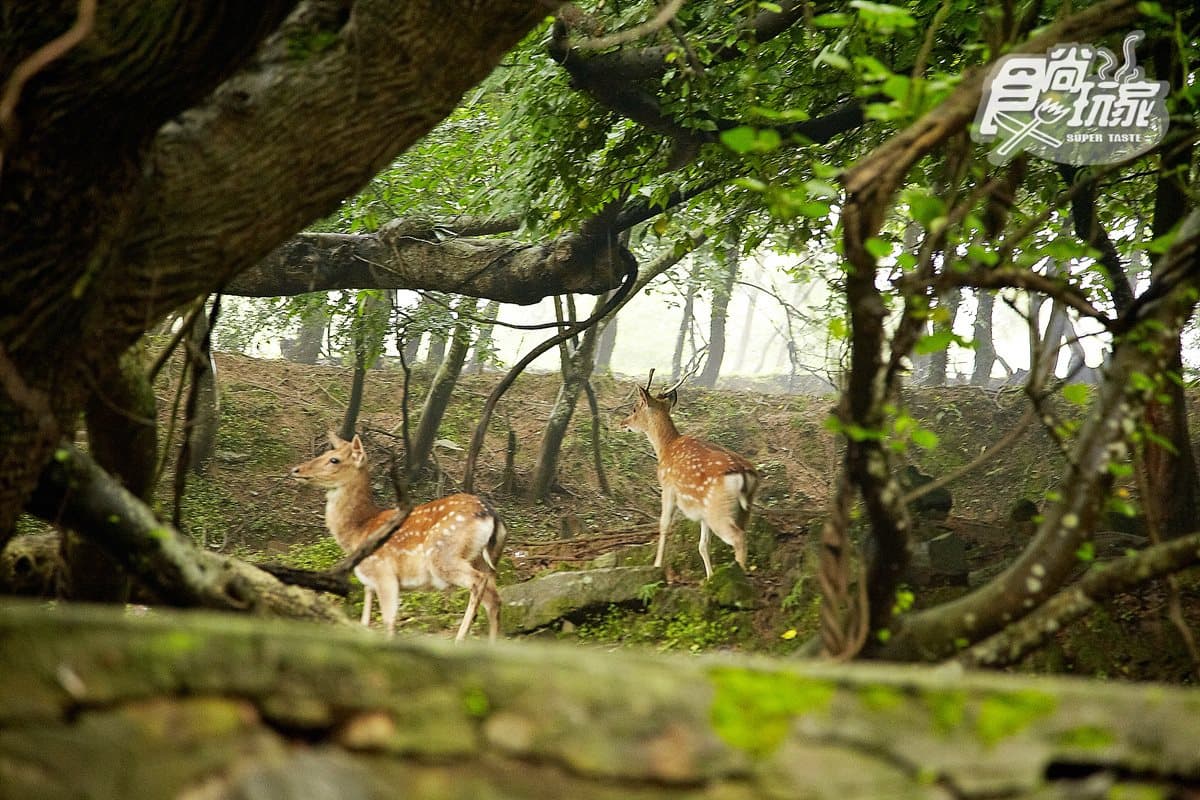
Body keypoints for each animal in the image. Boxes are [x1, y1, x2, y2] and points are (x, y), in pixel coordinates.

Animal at [290, 432, 506, 643]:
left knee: (477, 583)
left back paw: (459, 639)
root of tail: (491, 515)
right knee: (494, 599)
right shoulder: (369, 584)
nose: (296, 470)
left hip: (443, 555)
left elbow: (389, 624)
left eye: (334, 459)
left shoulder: (384, 573)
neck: (359, 531)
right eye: (325, 453)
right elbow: (365, 623)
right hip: (485, 560)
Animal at [621, 374, 760, 579]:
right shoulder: (701, 511)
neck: (665, 448)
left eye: (635, 408)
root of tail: (743, 473)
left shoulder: (668, 487)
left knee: (738, 538)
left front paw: (656, 565)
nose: (622, 423)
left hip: (718, 509)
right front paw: (709, 577)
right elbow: (702, 545)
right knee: (742, 533)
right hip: (742, 509)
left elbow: (664, 525)